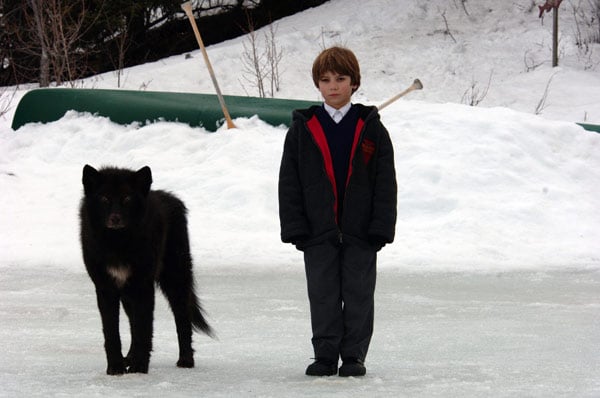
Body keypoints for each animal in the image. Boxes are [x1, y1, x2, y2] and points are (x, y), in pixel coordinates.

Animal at [78, 166, 212, 376]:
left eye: (127, 198)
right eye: (104, 198)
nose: (115, 218)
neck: (118, 243)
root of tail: (170, 197)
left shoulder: (143, 287)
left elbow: (144, 330)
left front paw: (139, 367)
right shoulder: (106, 289)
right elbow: (112, 333)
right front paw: (116, 368)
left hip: (176, 281)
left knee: (183, 320)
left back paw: (186, 360)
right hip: (128, 295)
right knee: (133, 324)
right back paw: (129, 357)